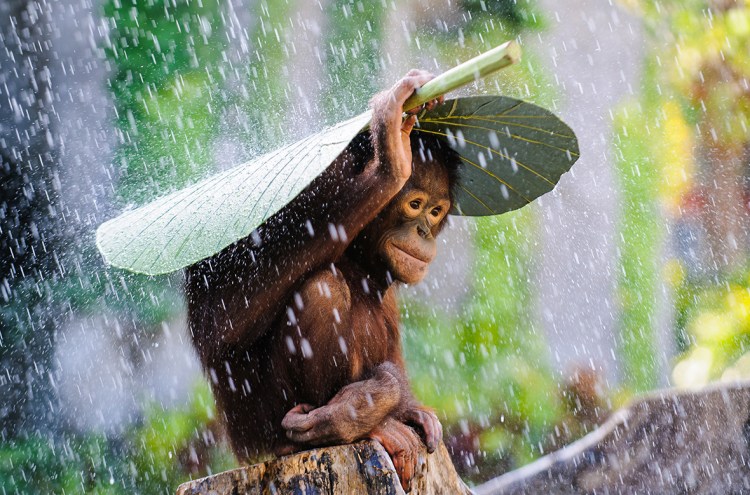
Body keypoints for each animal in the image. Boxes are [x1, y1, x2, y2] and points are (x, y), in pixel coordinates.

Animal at [185, 70, 461, 490]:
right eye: (414, 204)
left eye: (435, 210)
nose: (424, 231)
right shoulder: (308, 187)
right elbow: (218, 320)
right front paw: (390, 156)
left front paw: (404, 407)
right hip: (265, 428)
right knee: (321, 288)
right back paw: (352, 427)